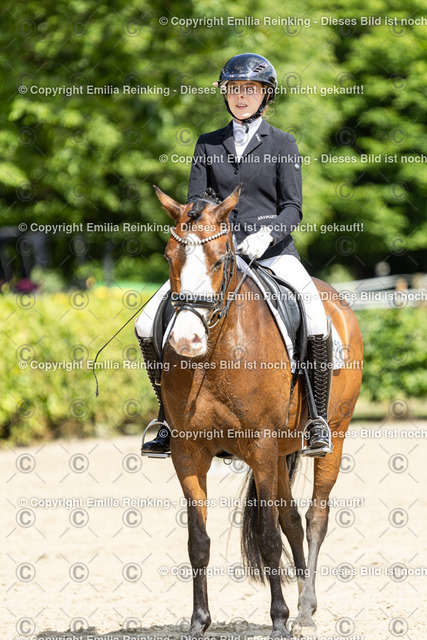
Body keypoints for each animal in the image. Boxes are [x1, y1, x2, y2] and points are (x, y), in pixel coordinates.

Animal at [153, 185, 363, 639]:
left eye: (220, 260)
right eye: (169, 256)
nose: (186, 340)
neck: (214, 353)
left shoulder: (261, 448)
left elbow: (267, 538)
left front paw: (279, 620)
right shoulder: (187, 453)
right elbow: (198, 542)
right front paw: (199, 622)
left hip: (332, 434)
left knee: (315, 516)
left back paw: (303, 609)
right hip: (282, 453)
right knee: (292, 520)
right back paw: (306, 606)